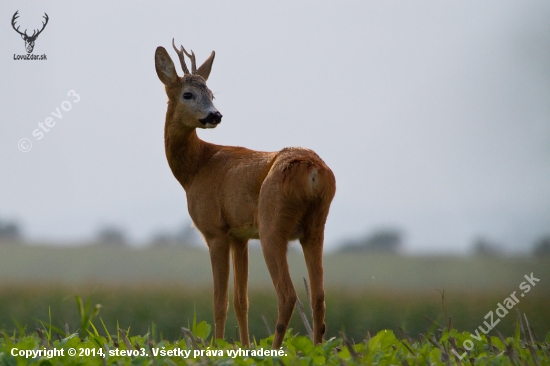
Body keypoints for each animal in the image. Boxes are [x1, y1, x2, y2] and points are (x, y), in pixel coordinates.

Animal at [155, 40, 336, 348]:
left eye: (211, 94)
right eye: (189, 94)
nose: (215, 115)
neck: (196, 167)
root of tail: (313, 171)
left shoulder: (215, 231)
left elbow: (220, 302)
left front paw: (217, 347)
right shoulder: (239, 235)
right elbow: (242, 300)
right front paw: (244, 348)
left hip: (272, 226)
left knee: (288, 295)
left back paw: (276, 349)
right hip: (315, 228)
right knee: (319, 296)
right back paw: (317, 350)